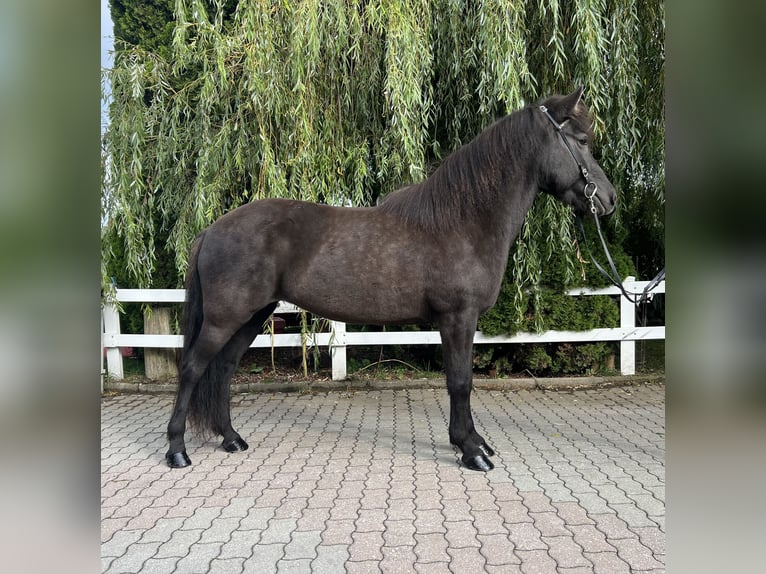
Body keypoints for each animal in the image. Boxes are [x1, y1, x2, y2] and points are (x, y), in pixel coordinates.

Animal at [168, 90, 616, 474]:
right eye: (581, 140)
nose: (608, 200)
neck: (462, 222)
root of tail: (212, 230)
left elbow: (462, 381)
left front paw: (474, 443)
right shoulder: (458, 318)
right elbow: (460, 382)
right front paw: (471, 450)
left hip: (253, 315)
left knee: (224, 368)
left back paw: (231, 439)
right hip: (226, 318)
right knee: (192, 368)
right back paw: (177, 451)